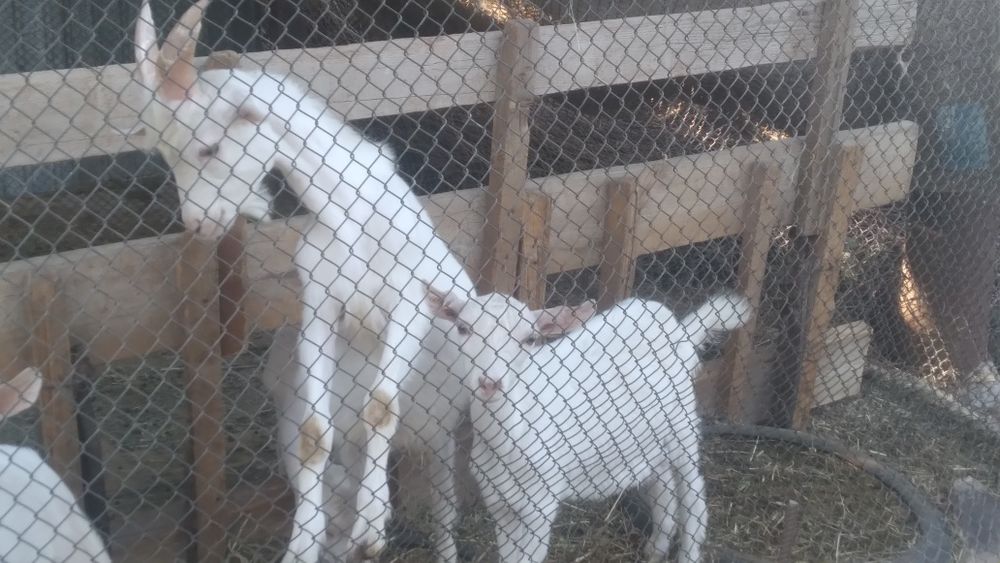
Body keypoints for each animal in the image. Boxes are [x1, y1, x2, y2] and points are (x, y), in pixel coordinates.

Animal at [131, 1, 476, 560]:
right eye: (165, 155)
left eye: (208, 148)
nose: (199, 224)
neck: (350, 211)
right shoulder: (320, 310)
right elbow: (314, 436)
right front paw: (304, 541)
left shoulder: (409, 303)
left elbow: (381, 407)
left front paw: (374, 521)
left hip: (440, 435)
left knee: (444, 507)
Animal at [425, 288, 750, 562]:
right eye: (463, 328)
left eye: (530, 339)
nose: (490, 383)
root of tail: (679, 330)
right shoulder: (499, 501)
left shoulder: (541, 505)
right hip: (651, 436)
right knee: (663, 489)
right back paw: (655, 550)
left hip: (682, 425)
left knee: (693, 497)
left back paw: (687, 552)